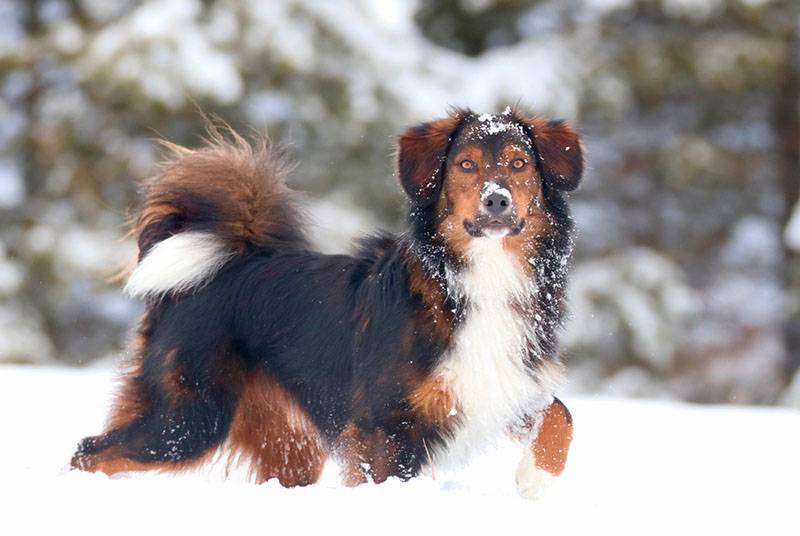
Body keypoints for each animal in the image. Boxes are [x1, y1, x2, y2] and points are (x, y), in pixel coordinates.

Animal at [72, 108, 580, 498]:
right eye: (466, 166)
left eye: (519, 164)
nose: (497, 201)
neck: (476, 278)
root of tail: (223, 264)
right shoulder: (384, 424)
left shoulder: (503, 384)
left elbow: (562, 414)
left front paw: (535, 479)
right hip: (189, 419)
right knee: (89, 452)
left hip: (287, 447)